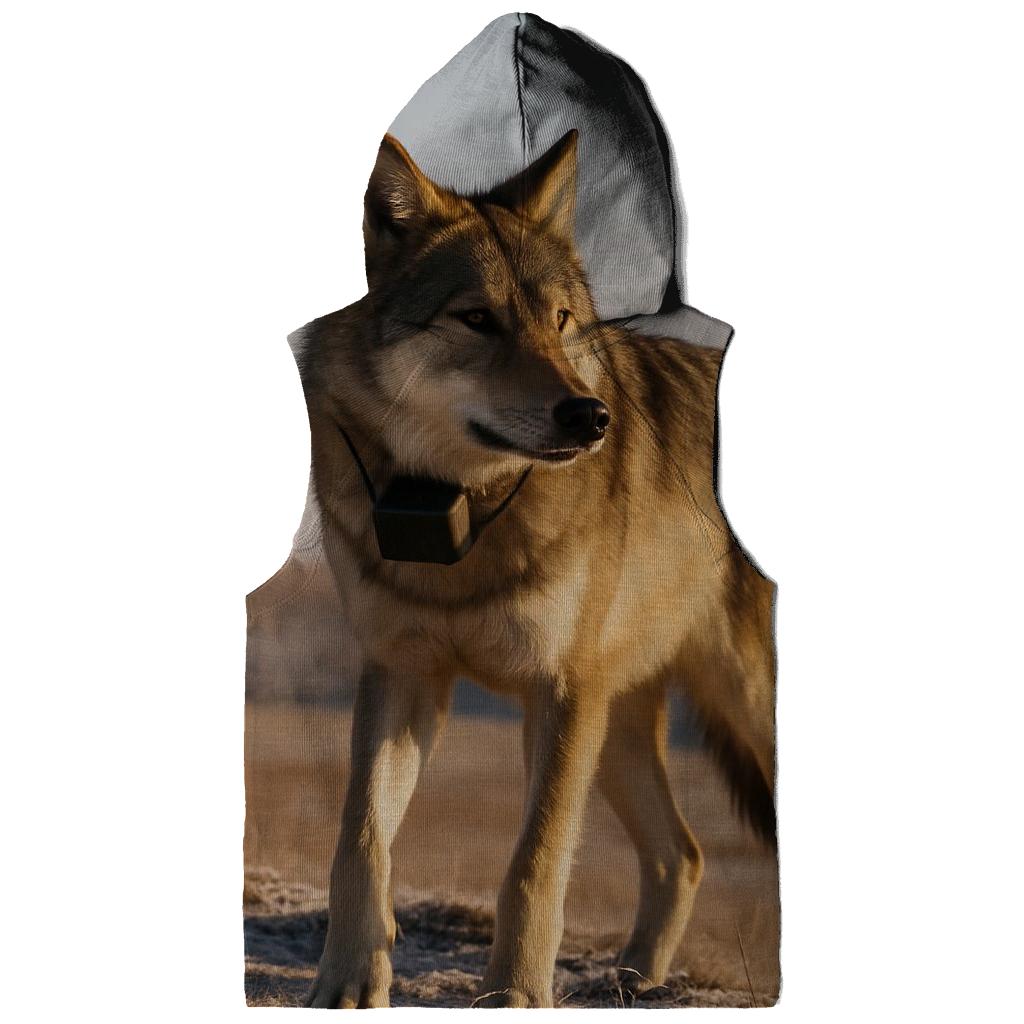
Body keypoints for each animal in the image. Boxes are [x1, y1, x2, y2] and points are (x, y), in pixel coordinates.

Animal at [296, 129, 777, 1008]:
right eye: (477, 319)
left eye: (560, 321)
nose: (591, 417)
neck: (457, 513)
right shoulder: (401, 673)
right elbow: (361, 842)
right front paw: (347, 984)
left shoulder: (559, 693)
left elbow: (534, 861)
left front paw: (516, 994)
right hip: (618, 730)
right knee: (682, 854)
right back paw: (634, 983)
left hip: (726, 710)